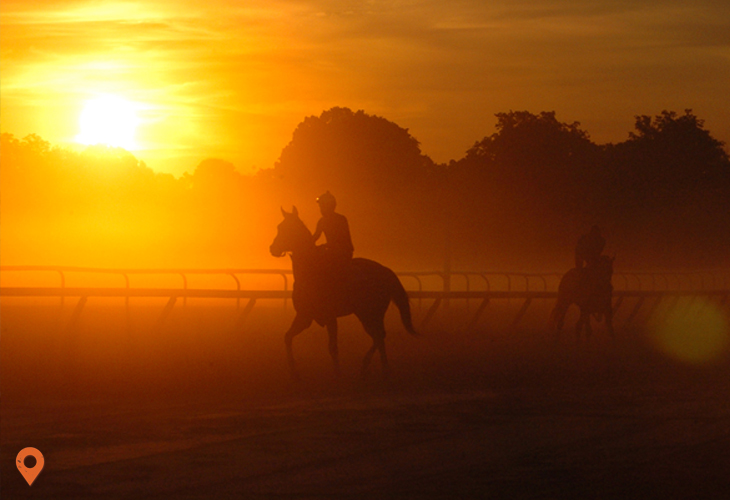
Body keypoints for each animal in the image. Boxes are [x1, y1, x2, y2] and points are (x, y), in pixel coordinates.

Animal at [268, 207, 418, 378]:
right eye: (279, 227)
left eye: (288, 228)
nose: (273, 248)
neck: (311, 271)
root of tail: (385, 270)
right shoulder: (304, 316)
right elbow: (287, 337)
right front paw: (294, 370)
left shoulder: (330, 318)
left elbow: (333, 347)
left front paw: (337, 373)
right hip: (363, 314)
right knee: (378, 336)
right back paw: (369, 366)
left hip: (373, 313)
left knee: (379, 336)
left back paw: (381, 367)